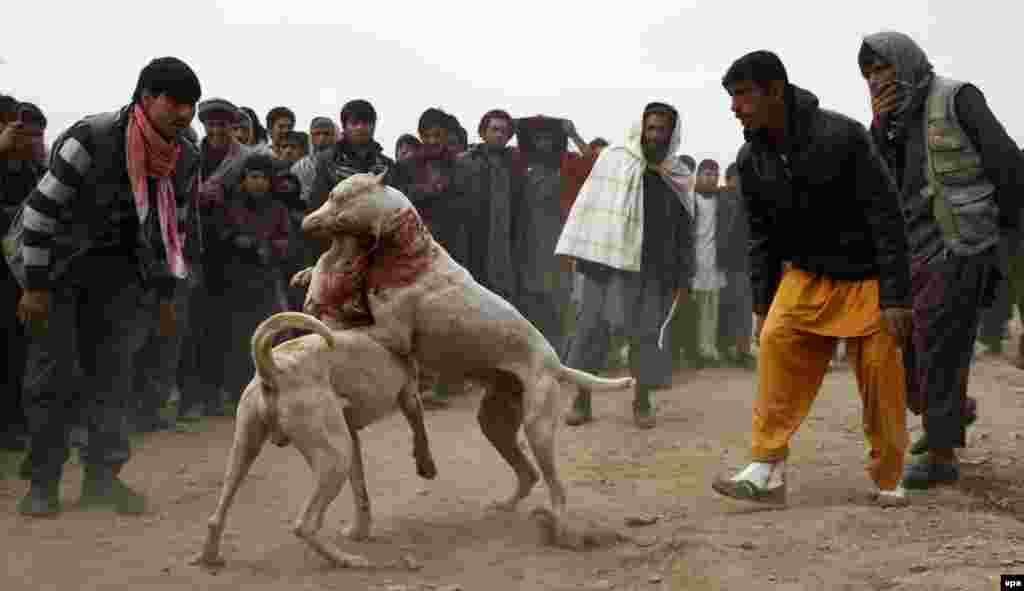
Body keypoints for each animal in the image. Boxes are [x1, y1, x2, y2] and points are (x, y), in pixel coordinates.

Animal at [192, 311, 436, 569]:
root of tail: (273, 371)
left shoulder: (352, 438)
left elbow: (360, 490)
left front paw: (359, 532)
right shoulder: (410, 396)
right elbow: (420, 432)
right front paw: (427, 466)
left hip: (247, 450)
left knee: (216, 517)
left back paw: (209, 557)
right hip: (335, 460)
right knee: (304, 526)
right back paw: (346, 559)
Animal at [296, 172, 634, 549]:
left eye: (336, 197)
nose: (304, 221)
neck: (407, 252)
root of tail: (555, 364)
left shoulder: (390, 333)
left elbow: (341, 324)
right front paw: (307, 277)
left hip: (538, 429)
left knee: (554, 486)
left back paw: (559, 528)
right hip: (495, 421)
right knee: (527, 473)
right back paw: (506, 505)